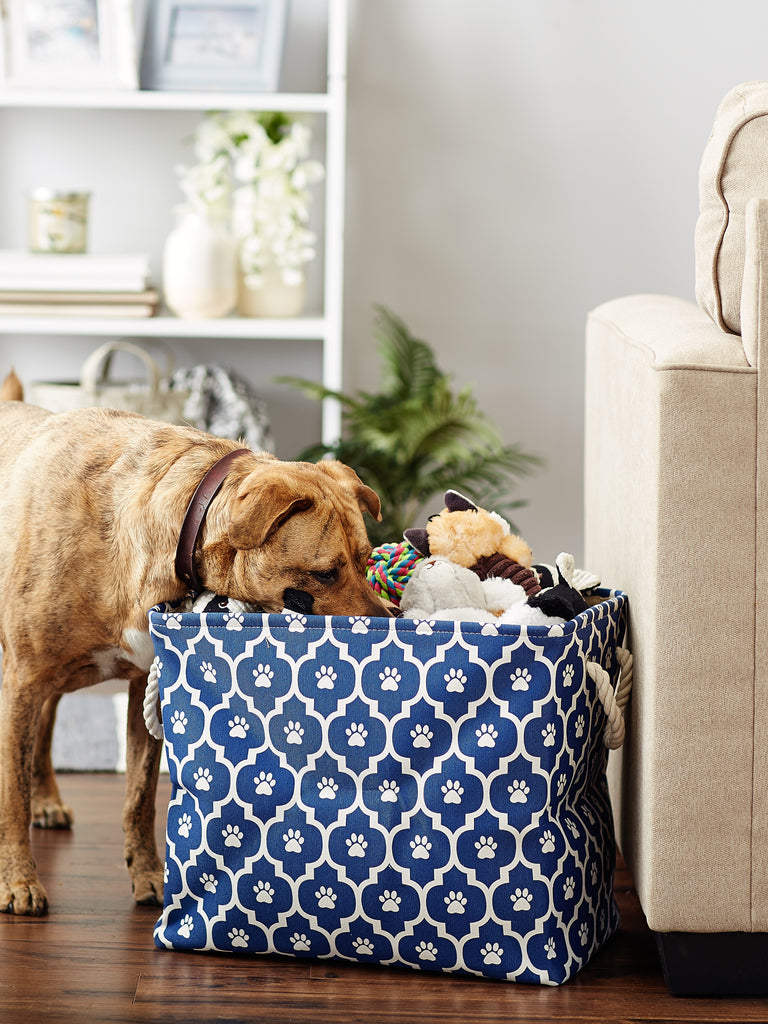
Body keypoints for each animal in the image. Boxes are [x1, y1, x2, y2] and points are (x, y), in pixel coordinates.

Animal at [0, 380, 391, 917]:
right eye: (326, 573)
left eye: (366, 560)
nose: (394, 621)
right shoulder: (22, 681)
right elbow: (11, 798)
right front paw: (18, 880)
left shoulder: (146, 687)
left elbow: (139, 797)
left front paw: (149, 875)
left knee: (47, 726)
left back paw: (47, 798)